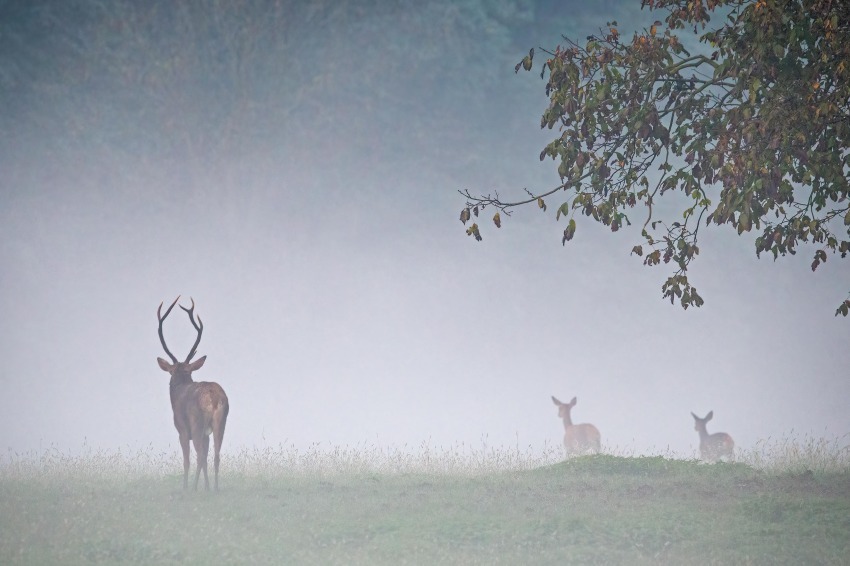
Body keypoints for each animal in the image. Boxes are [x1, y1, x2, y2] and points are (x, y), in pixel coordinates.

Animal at [156, 298, 229, 492]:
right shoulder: (206, 434)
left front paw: (186, 487)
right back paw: (215, 488)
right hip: (220, 423)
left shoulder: (182, 430)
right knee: (216, 456)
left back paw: (195, 488)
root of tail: (213, 397)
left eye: (172, 371)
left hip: (197, 423)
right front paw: (206, 486)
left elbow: (187, 460)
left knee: (199, 457)